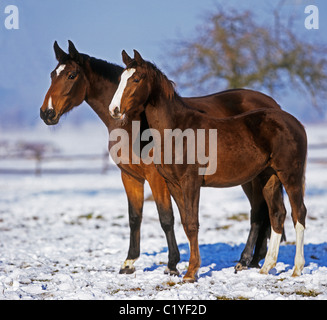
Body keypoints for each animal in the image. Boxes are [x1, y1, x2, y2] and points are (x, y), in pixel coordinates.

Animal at [39, 40, 282, 276]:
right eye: (52, 75)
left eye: (71, 75)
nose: (46, 113)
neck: (133, 124)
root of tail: (274, 106)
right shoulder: (130, 176)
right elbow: (134, 217)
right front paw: (129, 263)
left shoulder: (157, 177)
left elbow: (166, 218)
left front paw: (172, 265)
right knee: (262, 212)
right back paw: (254, 260)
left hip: (254, 177)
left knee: (258, 213)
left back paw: (245, 260)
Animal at [109, 48, 308, 282]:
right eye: (120, 79)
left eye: (136, 79)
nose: (114, 109)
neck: (176, 131)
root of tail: (294, 122)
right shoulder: (174, 184)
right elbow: (186, 223)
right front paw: (188, 270)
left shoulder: (191, 182)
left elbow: (192, 224)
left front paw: (190, 273)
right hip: (269, 178)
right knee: (277, 214)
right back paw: (266, 267)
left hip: (290, 175)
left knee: (298, 213)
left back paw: (296, 268)